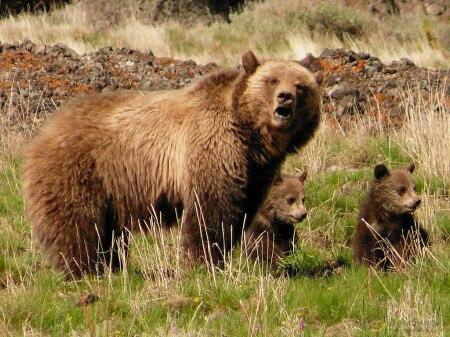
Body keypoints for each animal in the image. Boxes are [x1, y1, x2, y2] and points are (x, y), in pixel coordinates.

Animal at [23, 49, 320, 276]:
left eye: (301, 86)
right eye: (272, 80)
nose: (285, 96)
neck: (250, 135)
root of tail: (45, 129)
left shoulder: (255, 170)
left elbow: (240, 211)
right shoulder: (212, 147)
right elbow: (210, 212)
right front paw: (202, 263)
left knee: (108, 230)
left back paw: (112, 266)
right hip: (80, 168)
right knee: (77, 222)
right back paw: (84, 268)